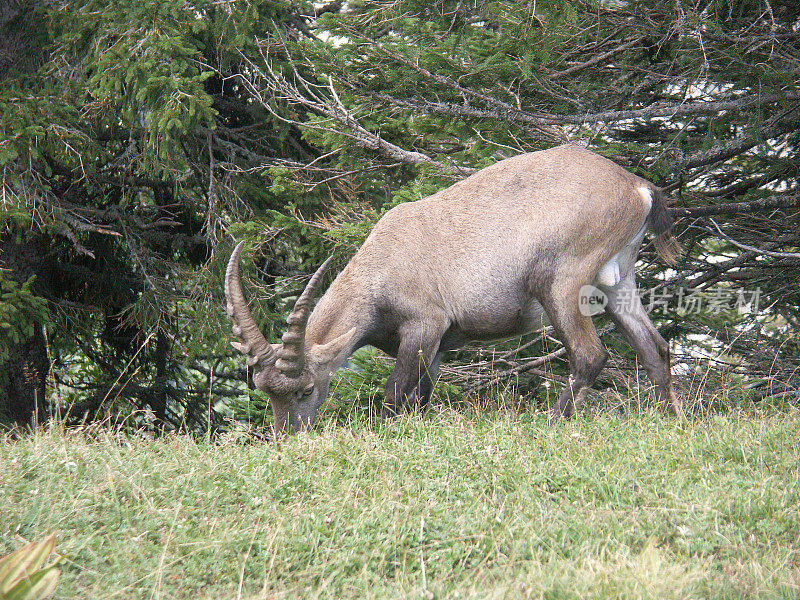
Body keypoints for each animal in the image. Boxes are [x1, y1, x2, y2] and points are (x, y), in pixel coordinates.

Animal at [225, 145, 680, 436]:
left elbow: (394, 393)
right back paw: (669, 420)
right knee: (654, 347)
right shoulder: (439, 345)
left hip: (560, 281)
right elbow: (422, 396)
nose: (285, 438)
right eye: (264, 391)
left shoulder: (424, 325)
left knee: (590, 355)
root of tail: (637, 187)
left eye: (305, 389)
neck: (383, 263)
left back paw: (552, 423)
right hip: (618, 281)